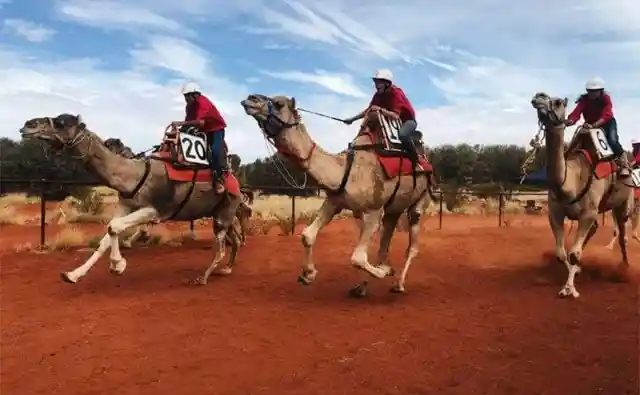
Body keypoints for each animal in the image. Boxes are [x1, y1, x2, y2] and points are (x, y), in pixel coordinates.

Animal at [20, 113, 244, 284]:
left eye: (61, 122)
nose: (27, 125)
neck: (133, 175)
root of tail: (235, 180)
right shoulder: (125, 205)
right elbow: (106, 236)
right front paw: (73, 275)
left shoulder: (154, 210)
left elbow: (114, 227)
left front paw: (118, 265)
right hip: (221, 212)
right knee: (235, 239)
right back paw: (227, 269)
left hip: (225, 212)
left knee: (221, 248)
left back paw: (203, 278)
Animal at [240, 93, 436, 296]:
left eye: (279, 104)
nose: (251, 98)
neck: (345, 170)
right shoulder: (335, 202)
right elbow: (307, 235)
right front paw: (308, 275)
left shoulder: (374, 209)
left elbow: (358, 258)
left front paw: (384, 272)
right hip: (393, 207)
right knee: (387, 236)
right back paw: (369, 280)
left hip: (420, 200)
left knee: (412, 246)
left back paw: (398, 284)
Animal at [528, 93, 636, 298]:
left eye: (557, 102)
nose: (538, 97)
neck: (571, 182)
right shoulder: (555, 213)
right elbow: (562, 254)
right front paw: (574, 274)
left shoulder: (588, 213)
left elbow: (574, 254)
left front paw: (570, 289)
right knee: (594, 230)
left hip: (624, 202)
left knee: (622, 235)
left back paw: (625, 269)